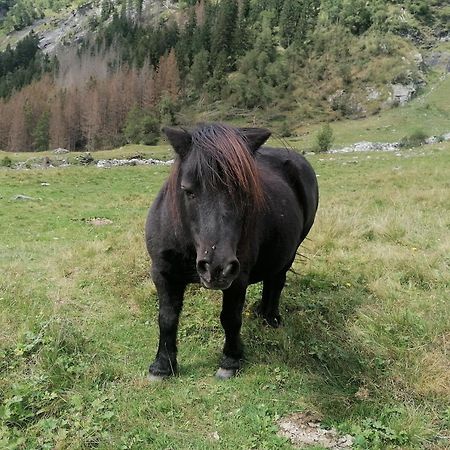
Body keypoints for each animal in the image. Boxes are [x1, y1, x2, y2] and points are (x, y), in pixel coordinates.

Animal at [146, 123, 318, 380]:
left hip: (290, 252)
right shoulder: (162, 273)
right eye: (188, 190)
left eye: (245, 192)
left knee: (276, 281)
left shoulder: (238, 277)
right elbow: (167, 318)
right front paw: (162, 366)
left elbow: (230, 318)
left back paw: (271, 317)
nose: (216, 267)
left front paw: (230, 360)